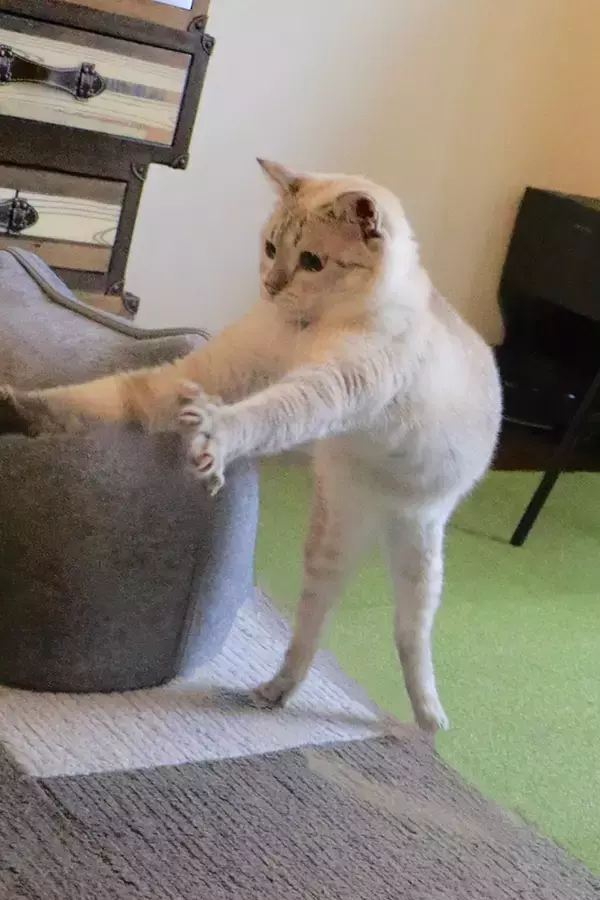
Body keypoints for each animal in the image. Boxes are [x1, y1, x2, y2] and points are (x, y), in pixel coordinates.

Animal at [0, 159, 502, 731]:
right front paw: (21, 409)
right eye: (270, 247)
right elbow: (114, 394)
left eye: (311, 261)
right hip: (328, 548)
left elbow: (264, 415)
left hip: (419, 553)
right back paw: (275, 691)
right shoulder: (218, 370)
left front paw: (213, 440)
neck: (310, 327)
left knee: (410, 636)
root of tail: (375, 516)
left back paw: (428, 717)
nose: (271, 285)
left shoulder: (331, 386)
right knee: (310, 630)